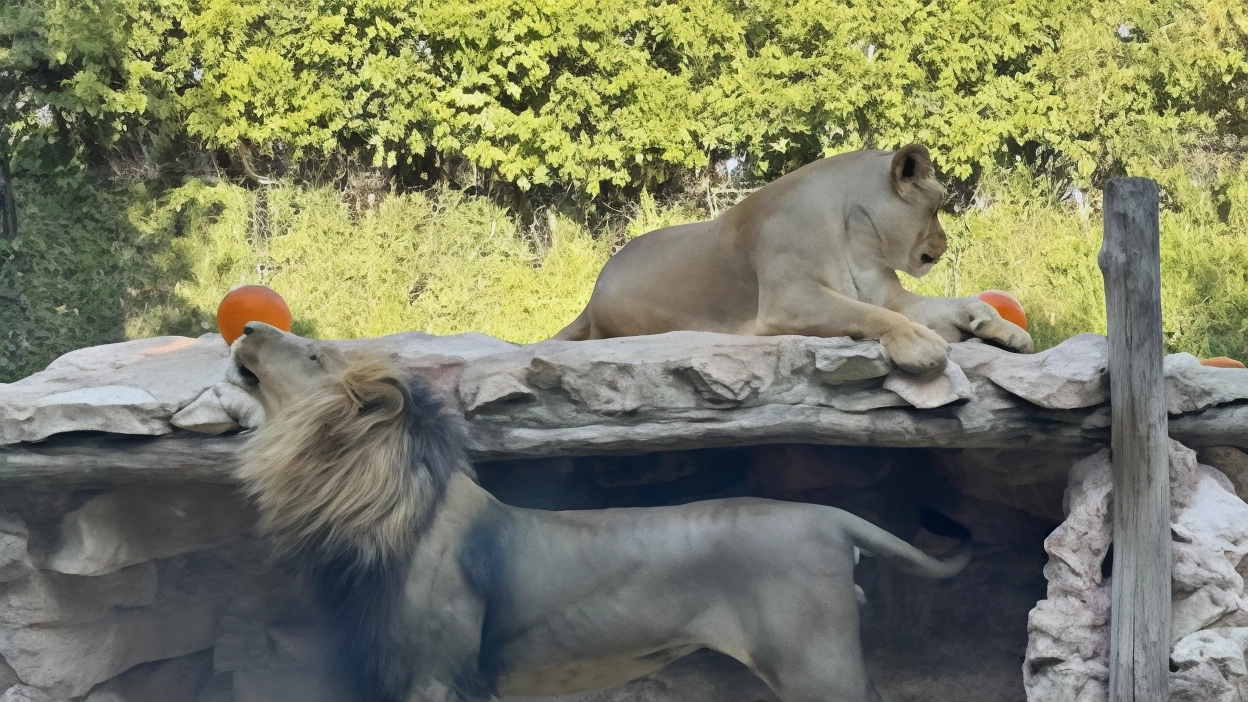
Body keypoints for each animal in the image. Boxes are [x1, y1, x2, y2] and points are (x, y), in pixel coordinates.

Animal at [556, 142, 1033, 372]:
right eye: (935, 207)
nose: (943, 244)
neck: (855, 235)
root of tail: (592, 295)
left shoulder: (889, 295)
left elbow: (951, 304)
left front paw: (1002, 328)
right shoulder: (787, 300)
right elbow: (873, 315)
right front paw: (921, 344)